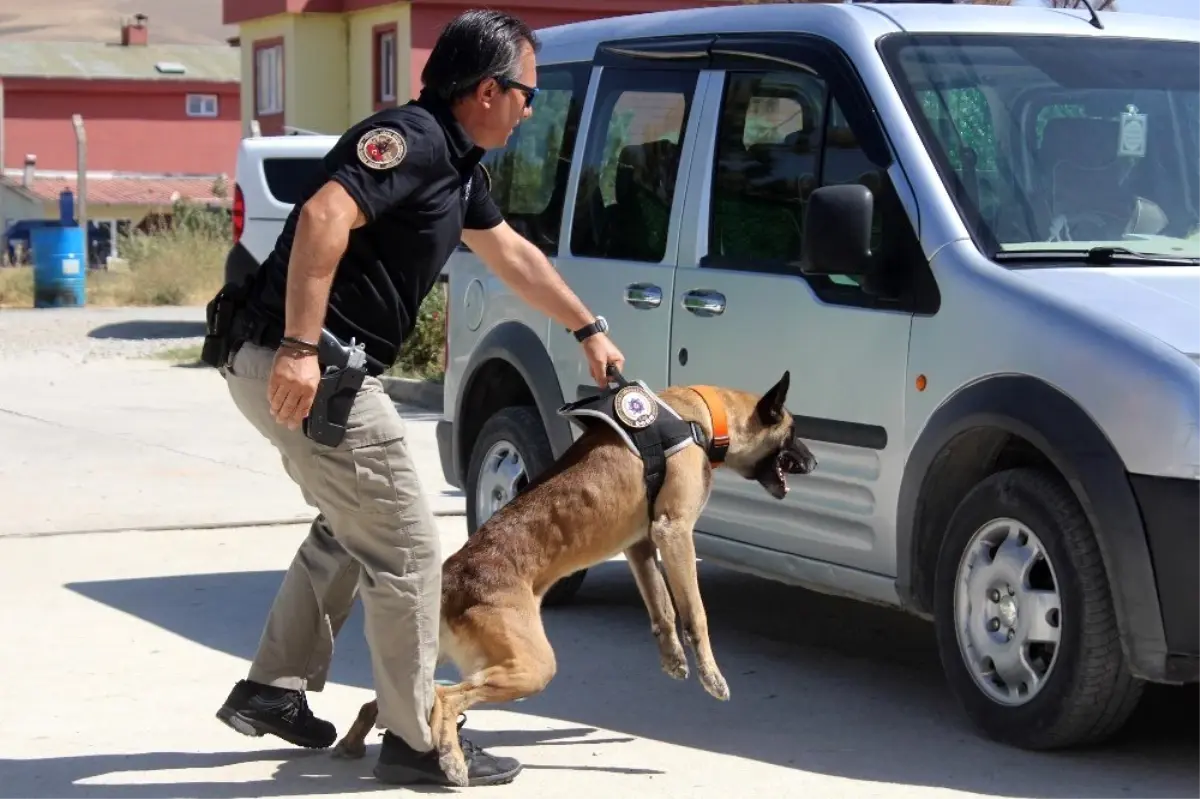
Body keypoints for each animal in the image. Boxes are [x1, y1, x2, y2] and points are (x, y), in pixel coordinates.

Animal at [328, 369, 816, 782]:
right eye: (794, 433)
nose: (813, 464)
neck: (700, 416)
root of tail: (451, 578)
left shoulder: (641, 544)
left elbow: (661, 608)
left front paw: (673, 658)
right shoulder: (673, 531)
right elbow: (695, 613)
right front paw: (711, 676)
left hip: (458, 660)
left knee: (393, 700)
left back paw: (362, 744)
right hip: (531, 666)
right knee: (444, 698)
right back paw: (449, 759)